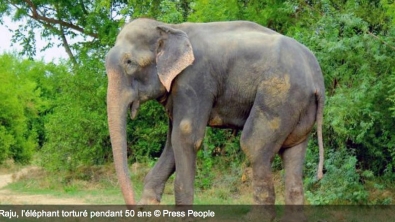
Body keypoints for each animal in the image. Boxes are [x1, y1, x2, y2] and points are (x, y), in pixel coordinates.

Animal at [105, 17, 324, 208]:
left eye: (129, 63)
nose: (134, 207)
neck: (169, 26)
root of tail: (317, 77)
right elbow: (172, 143)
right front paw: (147, 205)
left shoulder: (194, 80)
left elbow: (185, 136)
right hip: (300, 108)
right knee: (293, 154)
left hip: (280, 95)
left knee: (254, 145)